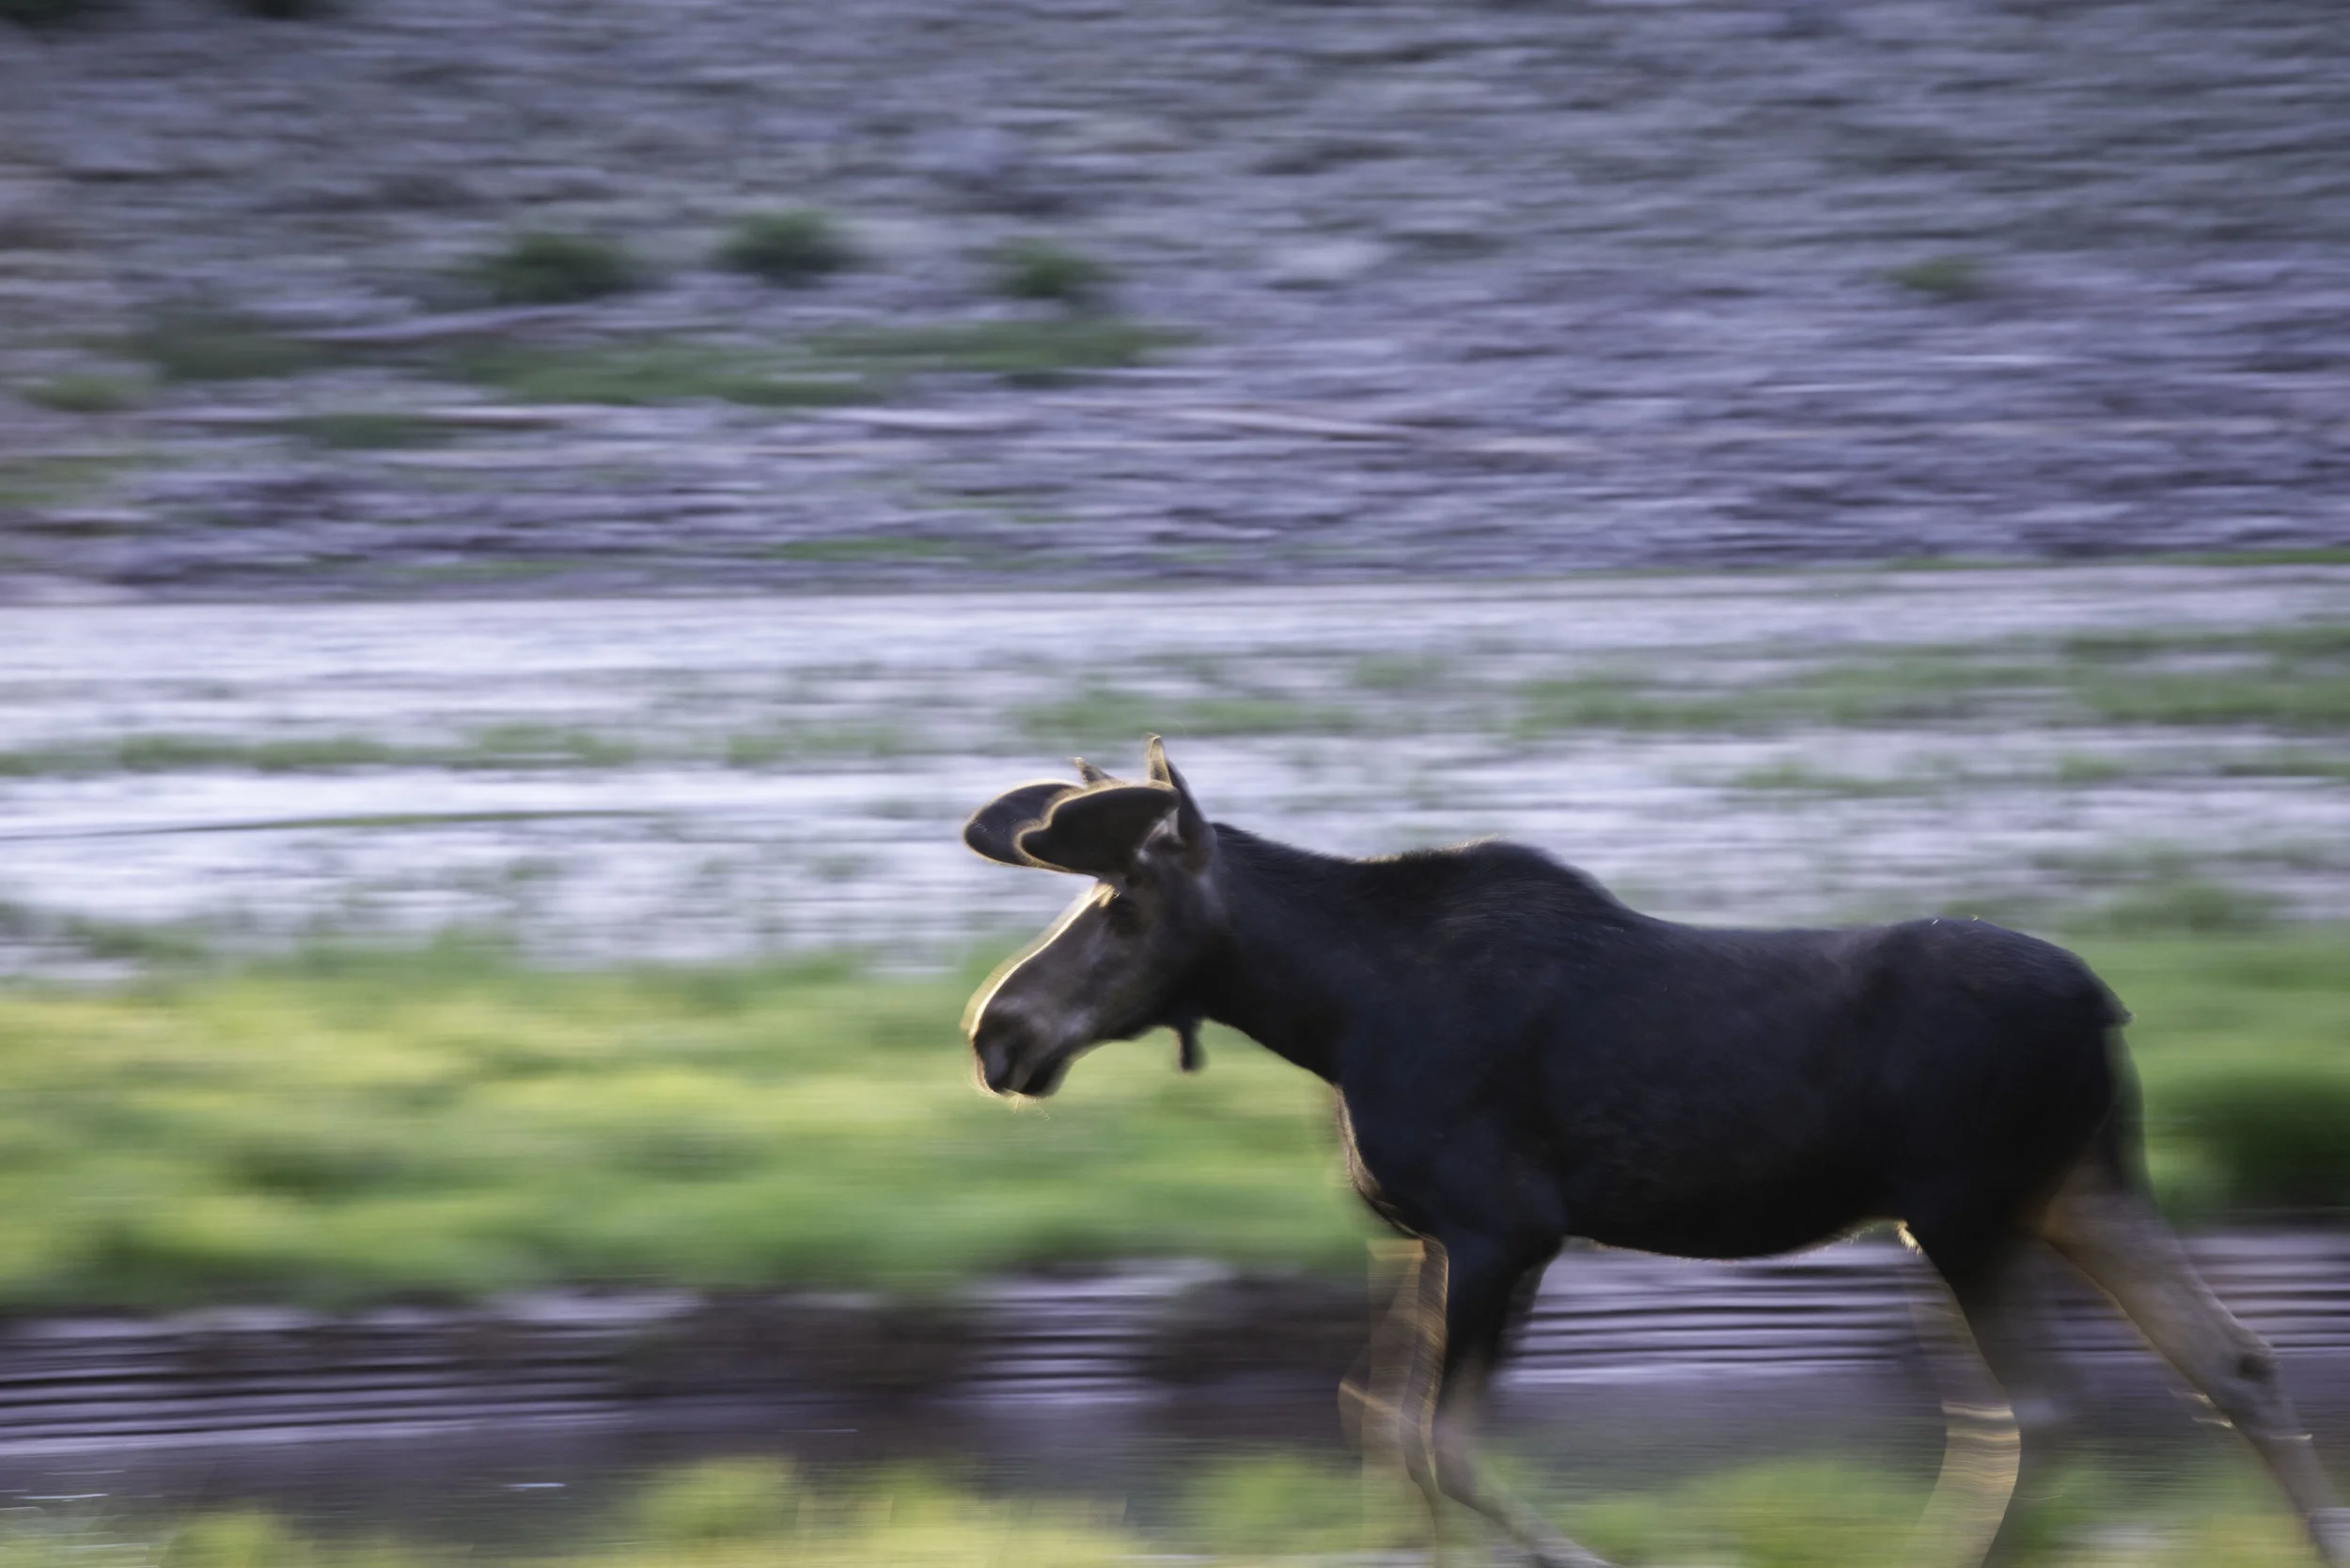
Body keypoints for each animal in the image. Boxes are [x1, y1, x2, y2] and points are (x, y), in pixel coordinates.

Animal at [960, 739, 2349, 1567]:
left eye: (1124, 906)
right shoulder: (1427, 1237)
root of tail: (2107, 1009)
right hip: (2075, 1189)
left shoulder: (1503, 1228)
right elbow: (1378, 1424)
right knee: (2232, 1360)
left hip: (1961, 1213)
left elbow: (1441, 1444)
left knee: (2044, 1410)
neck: (1331, 1016)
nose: (996, 1030)